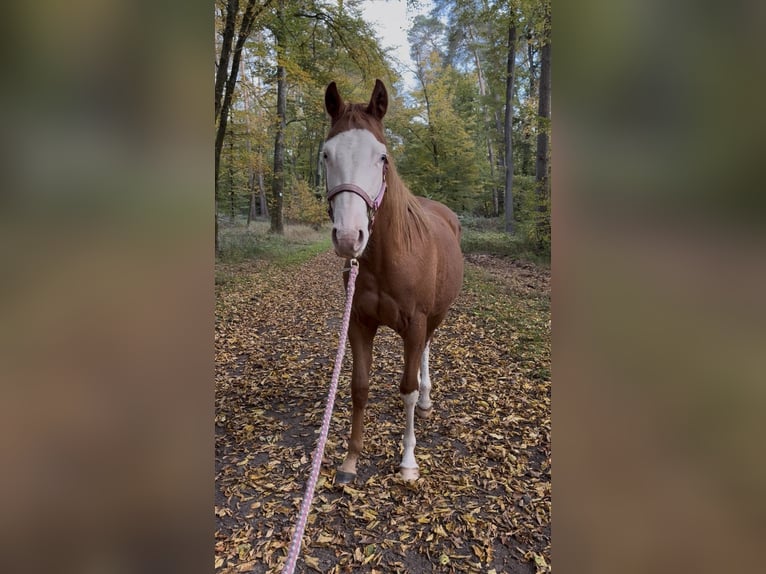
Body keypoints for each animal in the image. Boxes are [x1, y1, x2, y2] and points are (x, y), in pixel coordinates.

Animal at [322, 79, 464, 483]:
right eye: (326, 154)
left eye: (382, 157)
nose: (348, 237)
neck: (389, 258)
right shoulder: (358, 324)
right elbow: (359, 387)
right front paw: (350, 461)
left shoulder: (414, 324)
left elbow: (408, 390)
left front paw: (408, 461)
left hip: (436, 315)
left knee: (427, 351)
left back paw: (429, 400)